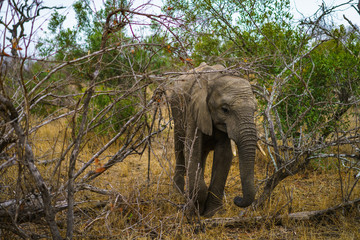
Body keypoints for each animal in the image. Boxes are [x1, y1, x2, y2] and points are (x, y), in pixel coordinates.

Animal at [170, 62, 258, 218]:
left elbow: (223, 157)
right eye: (225, 109)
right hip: (176, 110)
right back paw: (179, 194)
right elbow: (191, 151)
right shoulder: (194, 110)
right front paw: (196, 209)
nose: (237, 199)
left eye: (255, 110)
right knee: (180, 149)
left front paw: (212, 213)